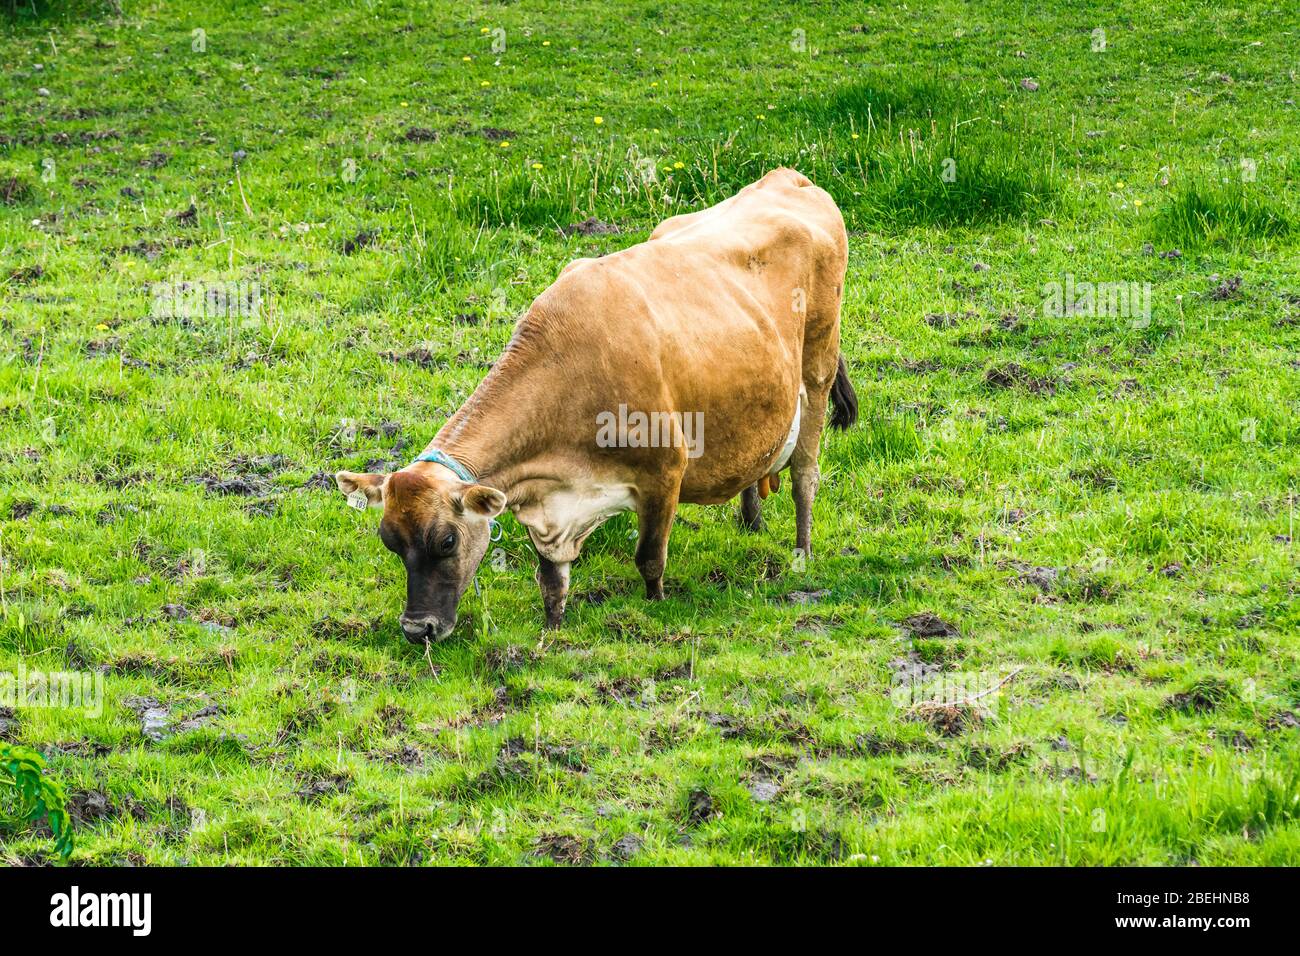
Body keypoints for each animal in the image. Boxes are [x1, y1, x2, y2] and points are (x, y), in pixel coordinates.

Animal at [336, 167, 857, 643]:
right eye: (389, 541)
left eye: (446, 540)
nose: (416, 629)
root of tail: (787, 177)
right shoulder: (548, 505)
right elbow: (551, 581)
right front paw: (551, 631)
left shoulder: (666, 472)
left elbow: (650, 559)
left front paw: (656, 607)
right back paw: (751, 523)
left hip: (817, 370)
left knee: (804, 475)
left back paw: (802, 555)